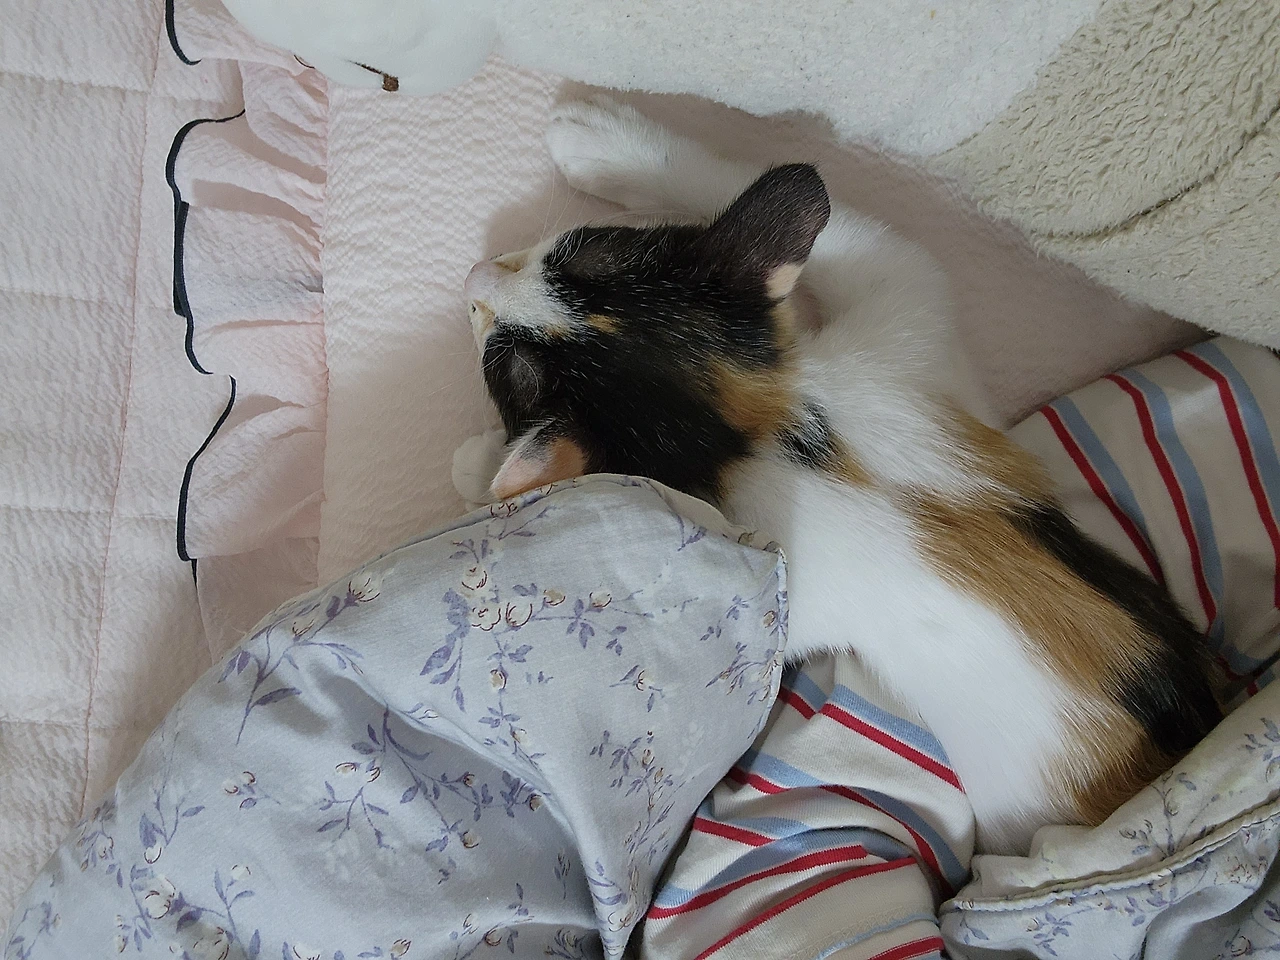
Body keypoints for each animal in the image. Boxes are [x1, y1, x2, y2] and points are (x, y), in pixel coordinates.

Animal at [453, 97, 1222, 855]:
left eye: (501, 369)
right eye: (580, 246)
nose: (474, 278)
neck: (759, 438)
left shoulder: (785, 600)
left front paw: (482, 462)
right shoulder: (906, 336)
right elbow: (869, 236)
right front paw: (607, 141)